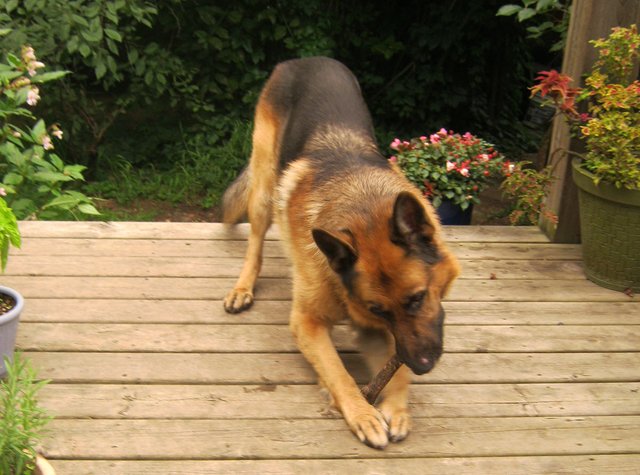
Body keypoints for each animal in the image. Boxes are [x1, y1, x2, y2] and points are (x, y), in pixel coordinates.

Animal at [222, 57, 458, 448]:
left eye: (417, 298)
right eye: (380, 309)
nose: (421, 365)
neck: (363, 204)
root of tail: (304, 59)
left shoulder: (377, 330)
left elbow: (393, 370)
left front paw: (397, 407)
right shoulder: (308, 322)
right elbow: (337, 371)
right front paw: (361, 413)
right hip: (265, 187)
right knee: (255, 240)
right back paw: (243, 287)